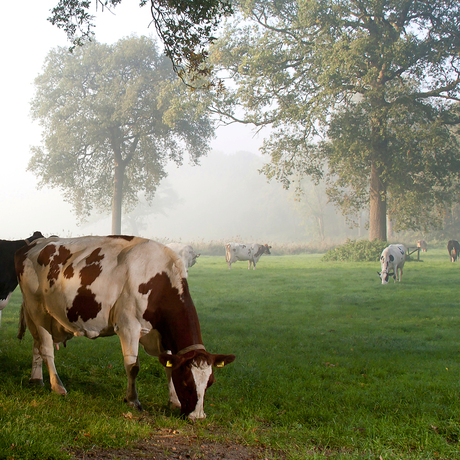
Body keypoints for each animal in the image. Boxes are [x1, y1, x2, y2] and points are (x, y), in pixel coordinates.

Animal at [14, 237, 235, 420]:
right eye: (187, 382)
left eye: (210, 382)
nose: (197, 417)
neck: (160, 279)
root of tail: (34, 244)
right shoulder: (128, 327)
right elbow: (133, 367)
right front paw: (133, 400)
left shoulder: (161, 334)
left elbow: (168, 366)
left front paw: (174, 401)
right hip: (38, 310)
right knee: (46, 349)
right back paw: (57, 386)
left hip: (38, 315)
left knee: (37, 345)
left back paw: (36, 379)